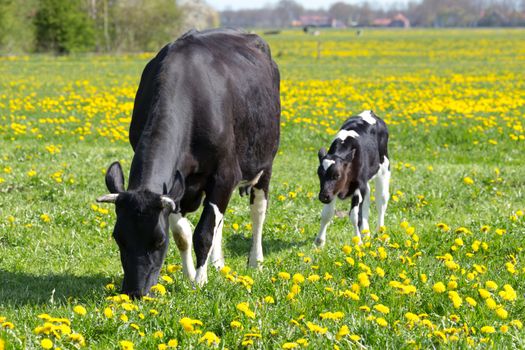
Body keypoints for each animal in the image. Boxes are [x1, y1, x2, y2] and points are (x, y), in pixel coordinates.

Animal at [96, 29, 280, 298]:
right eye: (118, 238)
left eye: (159, 241)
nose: (135, 292)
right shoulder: (178, 186)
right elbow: (184, 233)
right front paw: (190, 274)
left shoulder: (225, 175)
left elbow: (203, 233)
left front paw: (199, 282)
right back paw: (218, 263)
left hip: (264, 163)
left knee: (258, 212)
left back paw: (256, 261)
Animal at [314, 110, 386, 246]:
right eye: (319, 174)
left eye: (337, 175)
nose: (322, 197)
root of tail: (369, 112)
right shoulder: (332, 191)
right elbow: (327, 214)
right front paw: (319, 242)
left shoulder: (358, 187)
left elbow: (354, 216)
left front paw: (358, 242)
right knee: (367, 203)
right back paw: (366, 233)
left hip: (384, 168)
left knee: (381, 202)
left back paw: (380, 232)